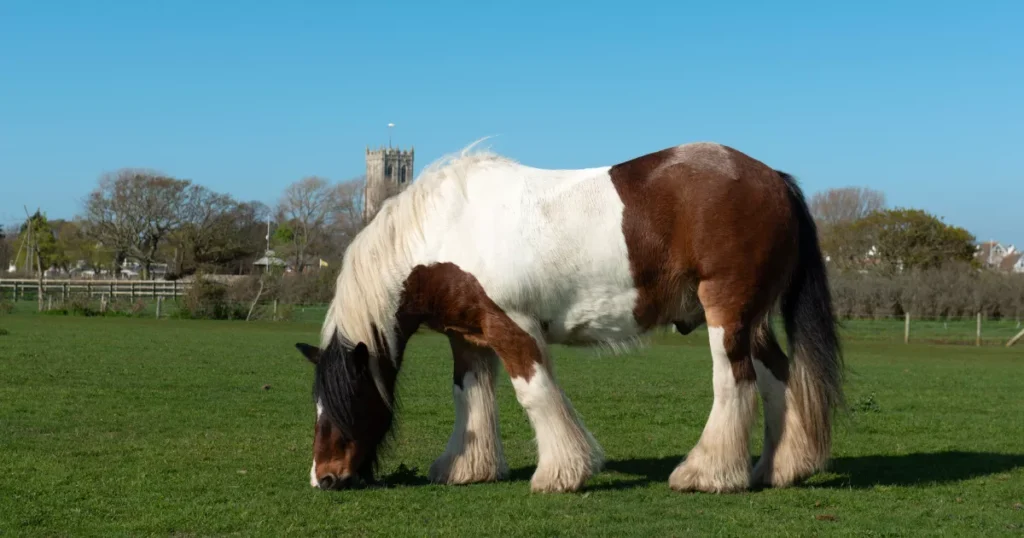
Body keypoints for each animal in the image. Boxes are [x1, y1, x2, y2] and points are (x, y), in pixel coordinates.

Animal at [292, 140, 843, 493]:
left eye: (345, 400)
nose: (324, 478)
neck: (445, 229)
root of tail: (774, 179)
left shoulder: (512, 327)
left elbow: (535, 394)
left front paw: (561, 473)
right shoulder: (467, 336)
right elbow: (469, 397)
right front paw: (465, 468)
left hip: (726, 313)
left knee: (735, 381)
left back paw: (706, 475)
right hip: (752, 319)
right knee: (776, 378)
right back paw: (778, 470)